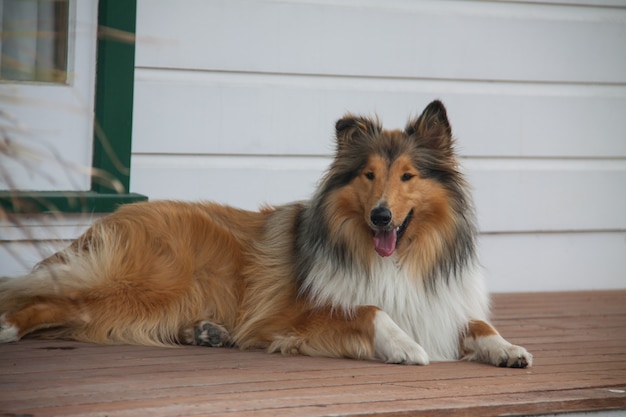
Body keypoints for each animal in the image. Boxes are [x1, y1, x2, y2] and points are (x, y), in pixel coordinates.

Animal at [0, 101, 532, 368]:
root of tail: (118, 214)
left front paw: (508, 349)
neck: (393, 257)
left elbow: (477, 324)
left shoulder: (438, 305)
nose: (382, 217)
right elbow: (370, 310)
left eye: (407, 176)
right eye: (368, 176)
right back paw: (8, 326)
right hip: (145, 283)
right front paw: (404, 346)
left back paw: (207, 332)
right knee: (52, 304)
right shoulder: (293, 317)